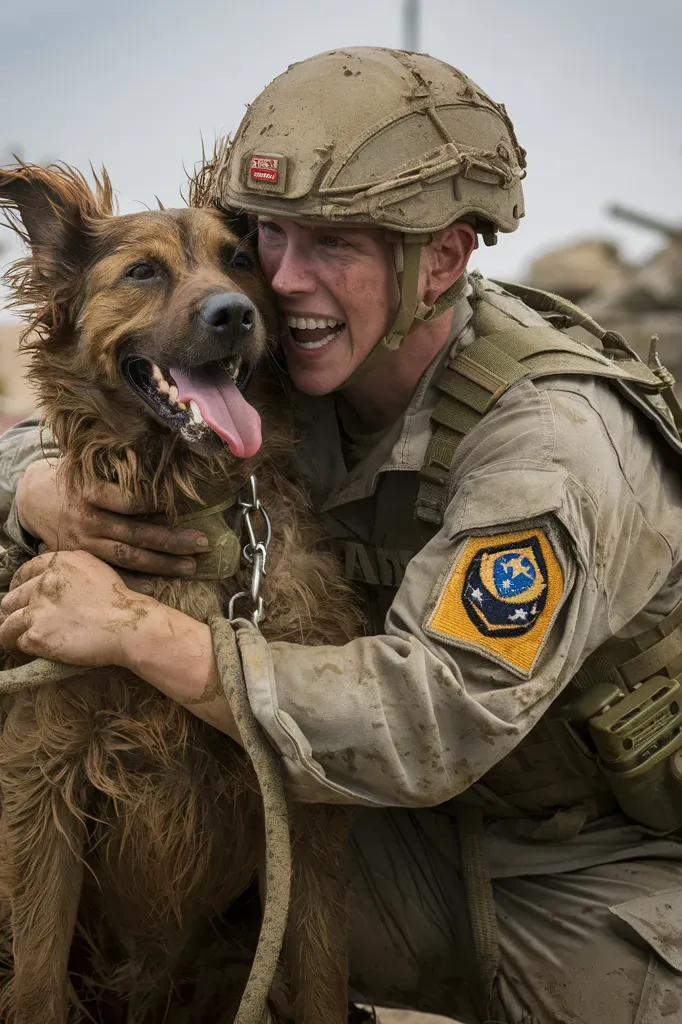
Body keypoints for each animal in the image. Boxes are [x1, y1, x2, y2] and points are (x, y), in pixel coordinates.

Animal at [0, 161, 360, 1024]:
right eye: (142, 272)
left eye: (241, 261)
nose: (233, 315)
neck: (200, 520)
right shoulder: (43, 778)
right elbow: (37, 982)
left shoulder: (304, 808)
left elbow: (321, 975)